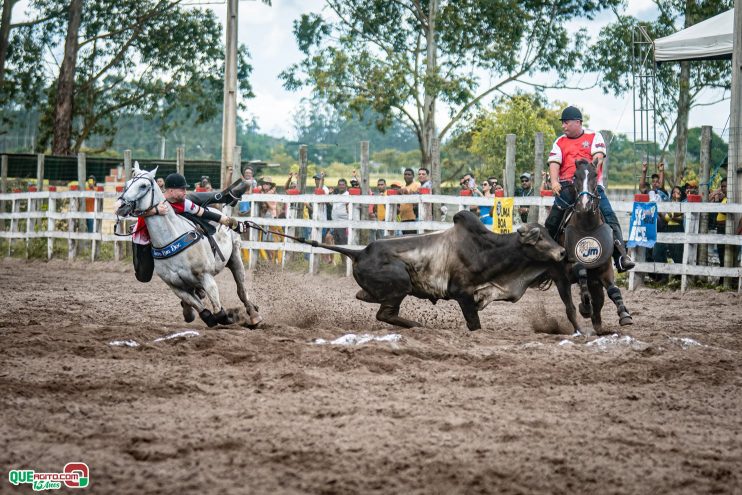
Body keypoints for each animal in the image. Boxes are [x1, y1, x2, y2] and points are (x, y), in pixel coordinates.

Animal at [116, 167, 264, 330]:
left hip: (235, 257)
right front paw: (205, 316)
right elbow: (199, 306)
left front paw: (227, 317)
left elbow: (218, 310)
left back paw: (254, 315)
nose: (121, 206)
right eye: (127, 184)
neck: (171, 237)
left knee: (241, 289)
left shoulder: (206, 276)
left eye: (143, 186)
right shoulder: (176, 286)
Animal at [548, 161, 636, 336]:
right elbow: (581, 271)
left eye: (595, 175)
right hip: (561, 282)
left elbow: (614, 290)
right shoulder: (570, 268)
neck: (587, 226)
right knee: (571, 309)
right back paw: (580, 326)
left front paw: (624, 315)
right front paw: (585, 306)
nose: (585, 203)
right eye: (575, 176)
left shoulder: (605, 269)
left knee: (598, 310)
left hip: (595, 285)